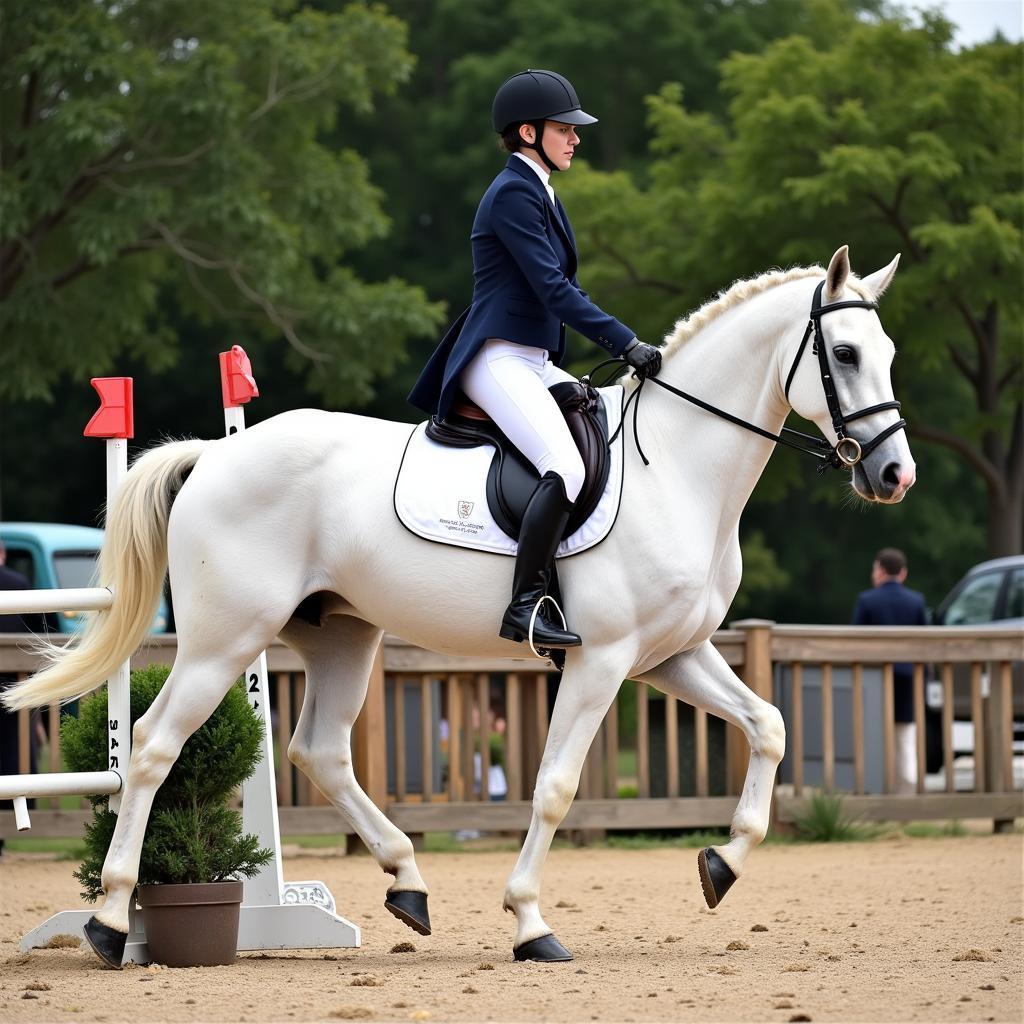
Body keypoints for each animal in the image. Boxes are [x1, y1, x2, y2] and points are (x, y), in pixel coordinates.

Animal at [2, 243, 913, 962]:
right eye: (844, 352)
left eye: (888, 351)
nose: (893, 474)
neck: (677, 469)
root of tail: (215, 455)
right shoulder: (604, 659)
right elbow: (555, 785)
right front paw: (531, 924)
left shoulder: (669, 656)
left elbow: (770, 726)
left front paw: (722, 864)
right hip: (226, 640)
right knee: (153, 748)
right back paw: (110, 922)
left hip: (340, 635)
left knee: (318, 750)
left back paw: (407, 882)